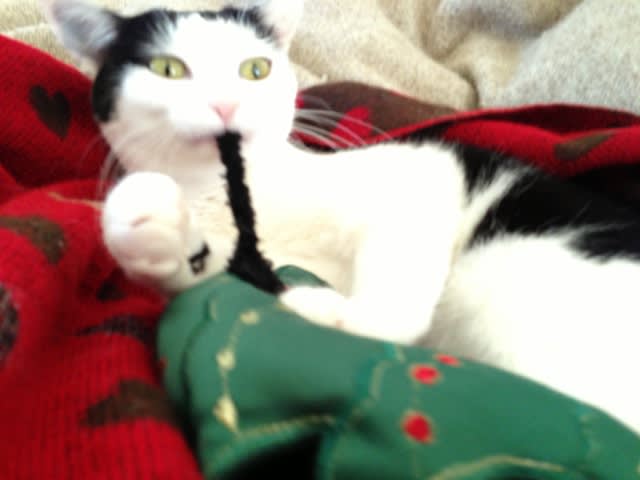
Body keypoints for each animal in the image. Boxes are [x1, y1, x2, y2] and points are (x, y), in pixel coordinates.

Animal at [46, 0, 640, 434]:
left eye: (255, 69)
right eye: (168, 69)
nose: (225, 105)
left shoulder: (426, 172)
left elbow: (396, 289)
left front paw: (332, 313)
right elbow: (207, 273)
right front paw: (154, 232)